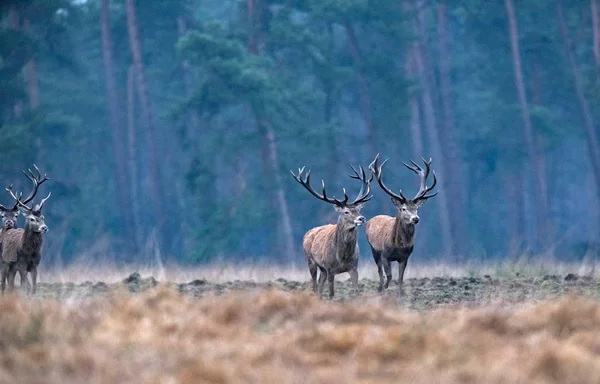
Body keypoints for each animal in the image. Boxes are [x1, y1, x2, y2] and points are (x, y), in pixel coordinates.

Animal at [1, 165, 50, 294]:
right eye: (31, 219)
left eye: (43, 217)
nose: (44, 227)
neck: (29, 252)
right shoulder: (21, 264)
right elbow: (26, 286)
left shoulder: (35, 265)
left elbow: (33, 286)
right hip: (4, 262)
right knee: (3, 283)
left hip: (12, 267)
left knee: (11, 284)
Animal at [290, 164, 370, 298]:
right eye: (346, 212)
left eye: (358, 210)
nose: (361, 218)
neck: (342, 257)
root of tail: (307, 233)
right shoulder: (330, 268)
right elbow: (331, 294)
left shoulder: (354, 267)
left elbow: (356, 291)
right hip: (311, 261)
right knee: (315, 285)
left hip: (322, 269)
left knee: (320, 285)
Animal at [364, 153, 438, 294]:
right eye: (403, 209)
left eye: (416, 208)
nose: (416, 218)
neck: (398, 245)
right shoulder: (385, 255)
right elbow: (389, 276)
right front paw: (385, 288)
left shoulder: (405, 257)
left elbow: (400, 278)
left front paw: (400, 294)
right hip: (373, 249)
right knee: (379, 270)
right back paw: (380, 288)